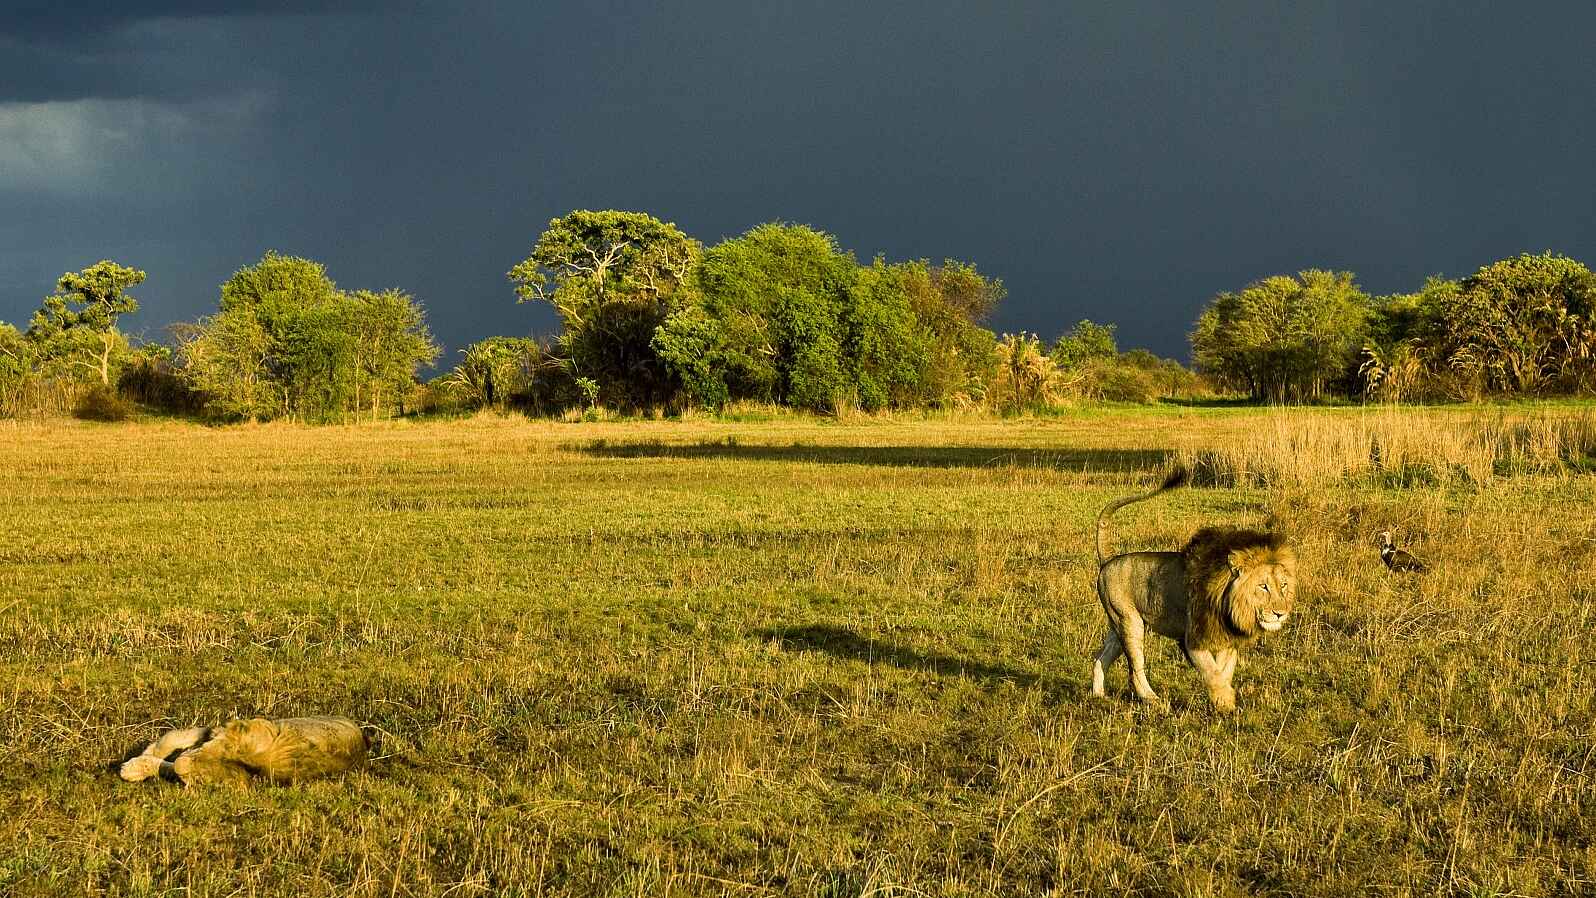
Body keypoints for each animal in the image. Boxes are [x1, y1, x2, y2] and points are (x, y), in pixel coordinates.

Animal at [1088, 468, 1296, 712]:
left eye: (1283, 585)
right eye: (1263, 586)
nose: (1280, 613)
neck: (1229, 604)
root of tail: (1108, 559)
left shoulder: (1226, 640)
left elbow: (1224, 671)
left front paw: (1223, 701)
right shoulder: (1193, 638)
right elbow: (1212, 672)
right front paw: (1226, 703)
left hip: (1117, 624)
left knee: (1100, 657)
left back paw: (1098, 695)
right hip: (1130, 621)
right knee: (1135, 668)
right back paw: (1153, 700)